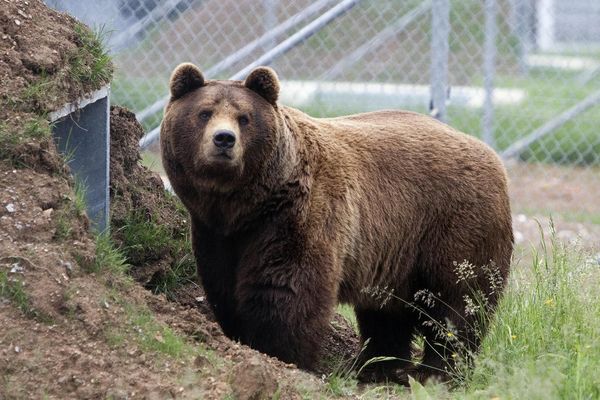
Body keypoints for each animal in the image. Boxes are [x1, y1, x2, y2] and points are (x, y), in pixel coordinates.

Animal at [162, 61, 512, 382]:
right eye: (204, 113)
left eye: (244, 117)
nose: (224, 139)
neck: (245, 206)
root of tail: (490, 154)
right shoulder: (215, 233)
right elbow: (223, 284)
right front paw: (239, 334)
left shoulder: (299, 215)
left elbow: (287, 288)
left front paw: (281, 353)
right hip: (397, 249)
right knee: (387, 313)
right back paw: (376, 366)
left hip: (455, 223)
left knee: (458, 302)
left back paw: (439, 371)